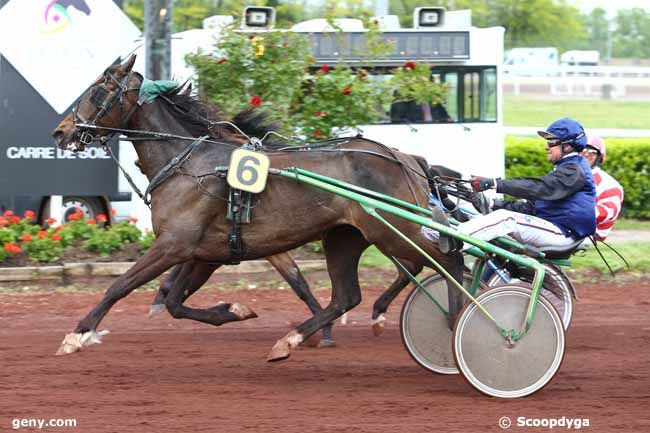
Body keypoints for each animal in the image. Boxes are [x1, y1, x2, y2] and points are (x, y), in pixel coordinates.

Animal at [54, 56, 460, 362]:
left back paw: (455, 322)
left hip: (394, 230)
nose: (61, 131)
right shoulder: (205, 253)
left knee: (447, 261)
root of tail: (406, 158)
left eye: (99, 91)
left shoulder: (173, 245)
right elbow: (173, 301)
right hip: (345, 238)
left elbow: (120, 286)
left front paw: (77, 335)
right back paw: (290, 340)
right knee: (348, 296)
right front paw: (234, 310)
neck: (190, 162)